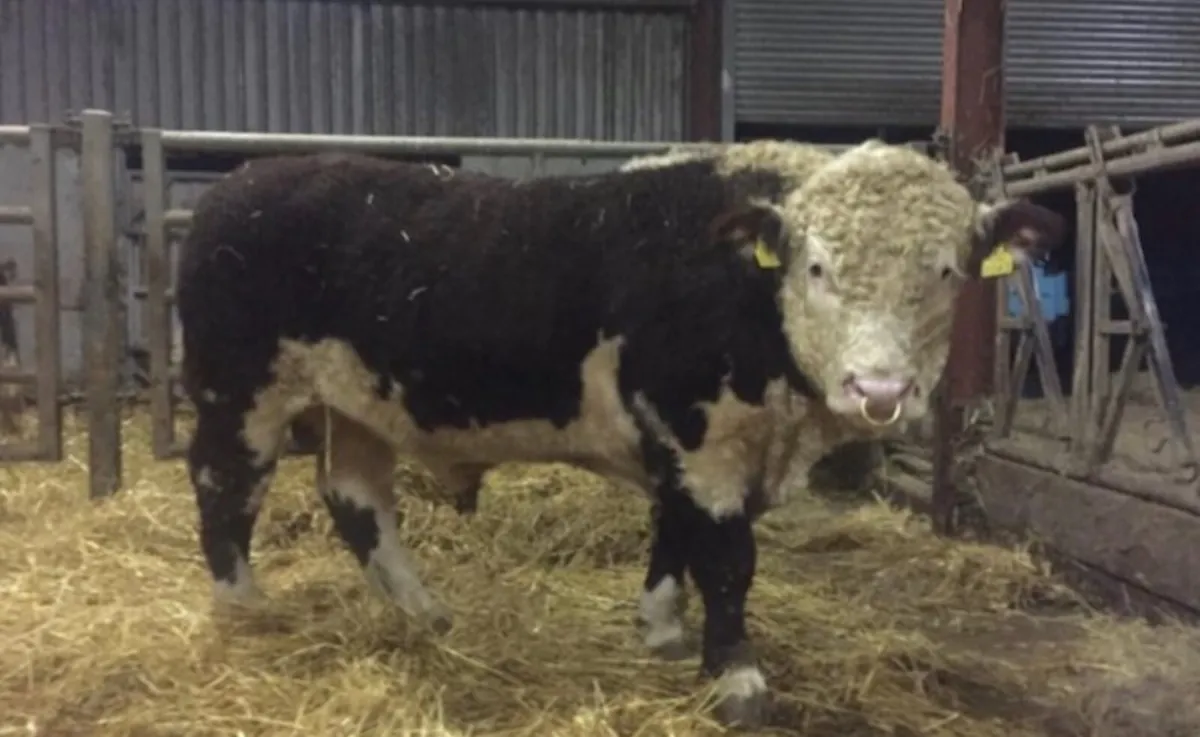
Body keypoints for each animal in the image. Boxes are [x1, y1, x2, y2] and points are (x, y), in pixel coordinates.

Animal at [176, 140, 1064, 728]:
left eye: (945, 272)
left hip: (357, 406)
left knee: (357, 500)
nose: (879, 389)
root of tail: (247, 179)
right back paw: (244, 610)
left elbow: (674, 533)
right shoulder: (700, 434)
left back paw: (425, 613)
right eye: (816, 268)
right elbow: (727, 559)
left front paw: (662, 629)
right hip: (237, 393)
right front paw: (737, 678)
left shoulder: (684, 444)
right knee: (226, 490)